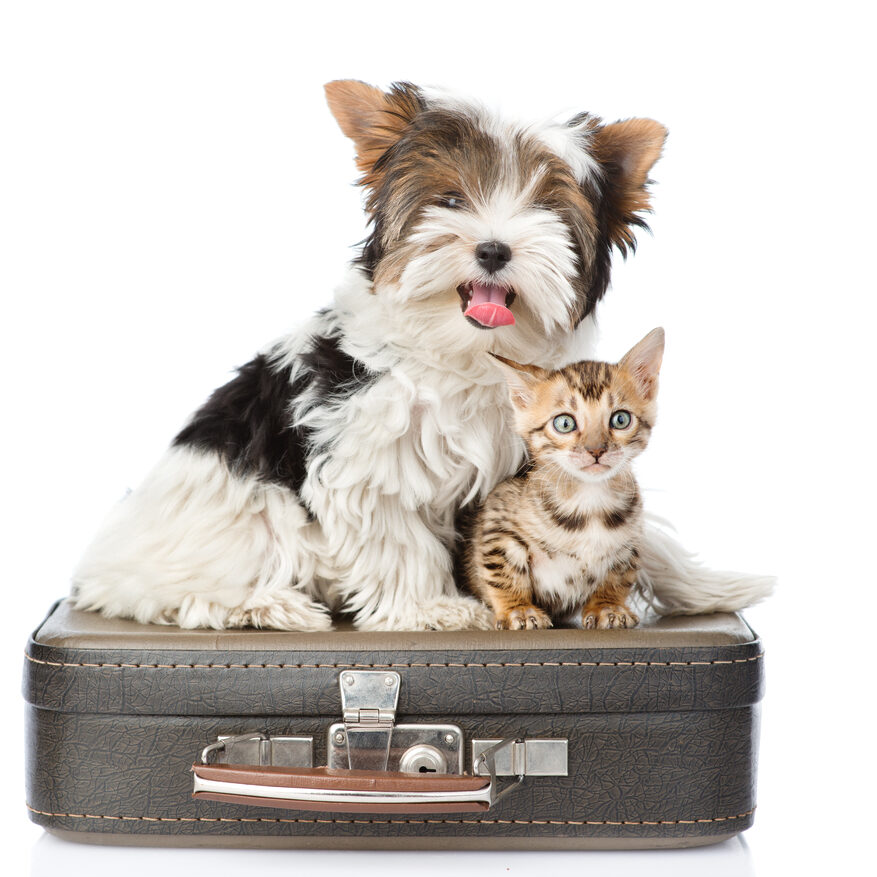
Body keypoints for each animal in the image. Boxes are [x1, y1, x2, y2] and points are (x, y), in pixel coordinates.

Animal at [462, 328, 660, 628]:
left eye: (620, 420)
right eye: (564, 423)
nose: (596, 450)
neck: (589, 500)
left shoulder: (629, 543)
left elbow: (619, 575)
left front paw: (608, 607)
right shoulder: (498, 522)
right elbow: (501, 572)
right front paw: (518, 610)